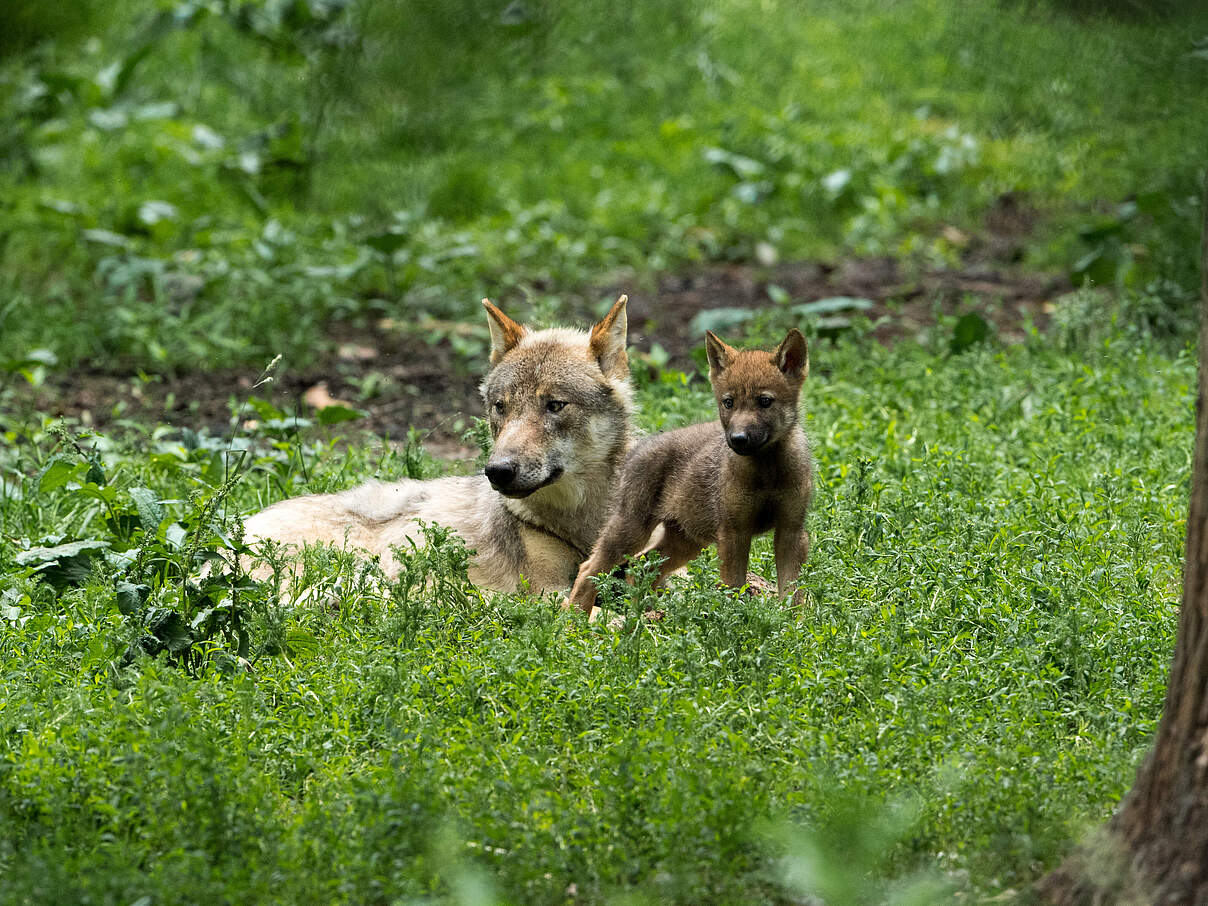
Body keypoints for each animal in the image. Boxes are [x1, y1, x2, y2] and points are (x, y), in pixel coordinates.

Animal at [243, 296, 634, 593]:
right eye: (500, 407)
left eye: (554, 405)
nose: (497, 471)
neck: (581, 525)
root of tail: (238, 525)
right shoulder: (547, 594)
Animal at [566, 327, 813, 614]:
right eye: (728, 402)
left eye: (765, 401)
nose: (738, 439)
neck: (768, 473)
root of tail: (639, 446)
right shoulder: (734, 532)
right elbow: (734, 588)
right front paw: (737, 619)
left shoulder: (791, 531)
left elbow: (794, 593)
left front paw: (792, 622)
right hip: (631, 530)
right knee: (589, 569)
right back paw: (575, 618)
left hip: (686, 539)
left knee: (641, 566)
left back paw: (644, 614)